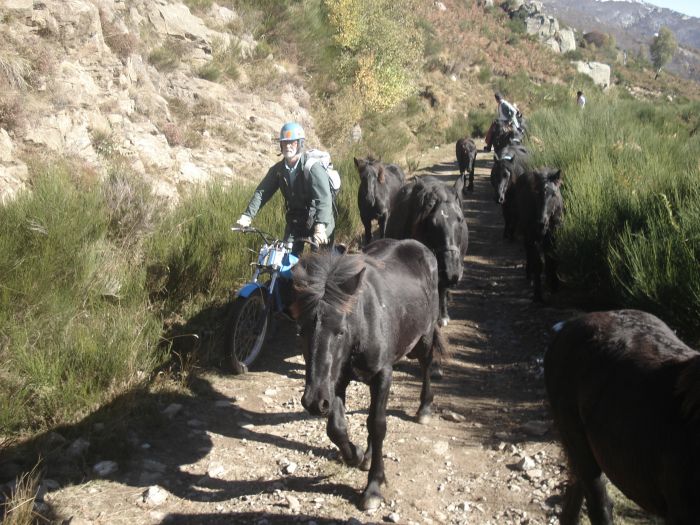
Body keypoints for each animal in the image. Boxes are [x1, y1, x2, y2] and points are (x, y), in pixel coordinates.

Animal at [292, 239, 448, 510]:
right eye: (301, 331)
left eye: (340, 331)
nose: (313, 402)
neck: (363, 325)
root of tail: (420, 247)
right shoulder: (336, 380)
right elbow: (336, 427)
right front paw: (354, 454)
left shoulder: (382, 374)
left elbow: (378, 425)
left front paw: (373, 486)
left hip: (424, 337)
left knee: (426, 365)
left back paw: (424, 409)